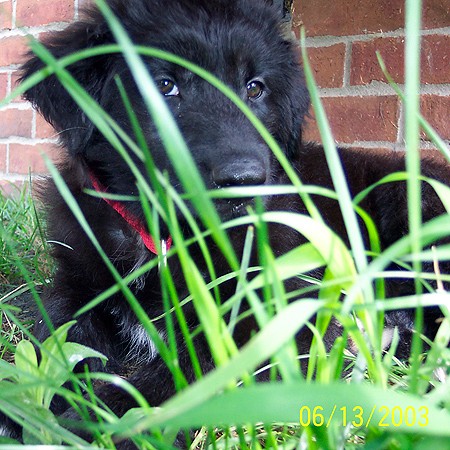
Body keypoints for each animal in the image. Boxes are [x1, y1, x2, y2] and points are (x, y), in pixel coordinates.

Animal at [3, 0, 450, 442]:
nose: (244, 180)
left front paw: (110, 421)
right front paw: (24, 401)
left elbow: (196, 369)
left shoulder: (277, 309)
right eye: (165, 85)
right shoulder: (79, 283)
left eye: (254, 88)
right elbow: (55, 330)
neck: (165, 237)